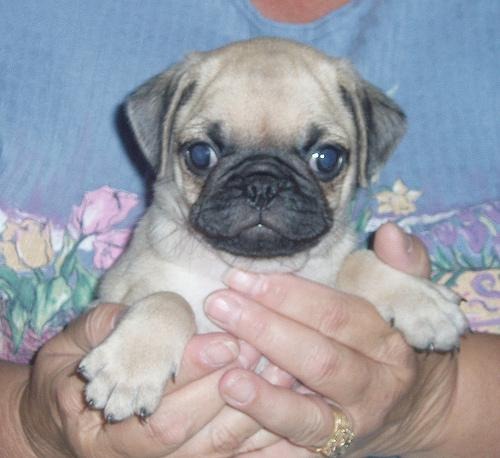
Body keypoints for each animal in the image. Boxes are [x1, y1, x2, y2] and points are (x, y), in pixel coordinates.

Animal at [79, 38, 468, 422]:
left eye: (327, 159)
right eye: (201, 154)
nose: (262, 184)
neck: (251, 266)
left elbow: (357, 261)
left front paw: (420, 299)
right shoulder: (113, 296)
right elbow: (168, 300)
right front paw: (130, 366)